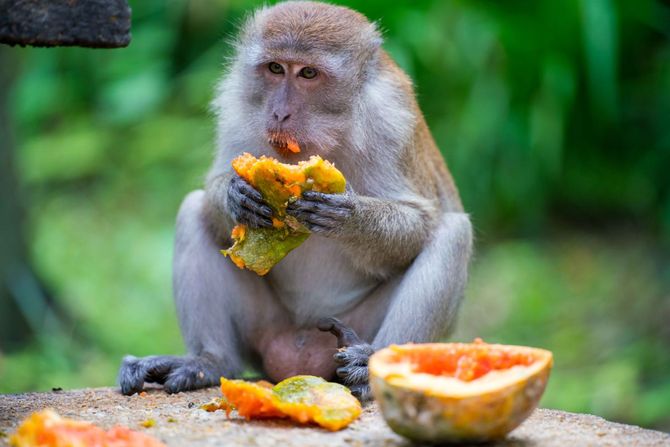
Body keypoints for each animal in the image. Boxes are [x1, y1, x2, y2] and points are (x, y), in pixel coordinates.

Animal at [119, 0, 472, 402]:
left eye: (308, 73)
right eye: (275, 68)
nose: (279, 113)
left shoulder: (391, 119)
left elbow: (421, 221)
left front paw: (350, 217)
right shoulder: (239, 103)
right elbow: (210, 189)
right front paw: (237, 195)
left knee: (453, 232)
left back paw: (373, 368)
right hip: (266, 328)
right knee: (193, 210)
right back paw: (207, 361)